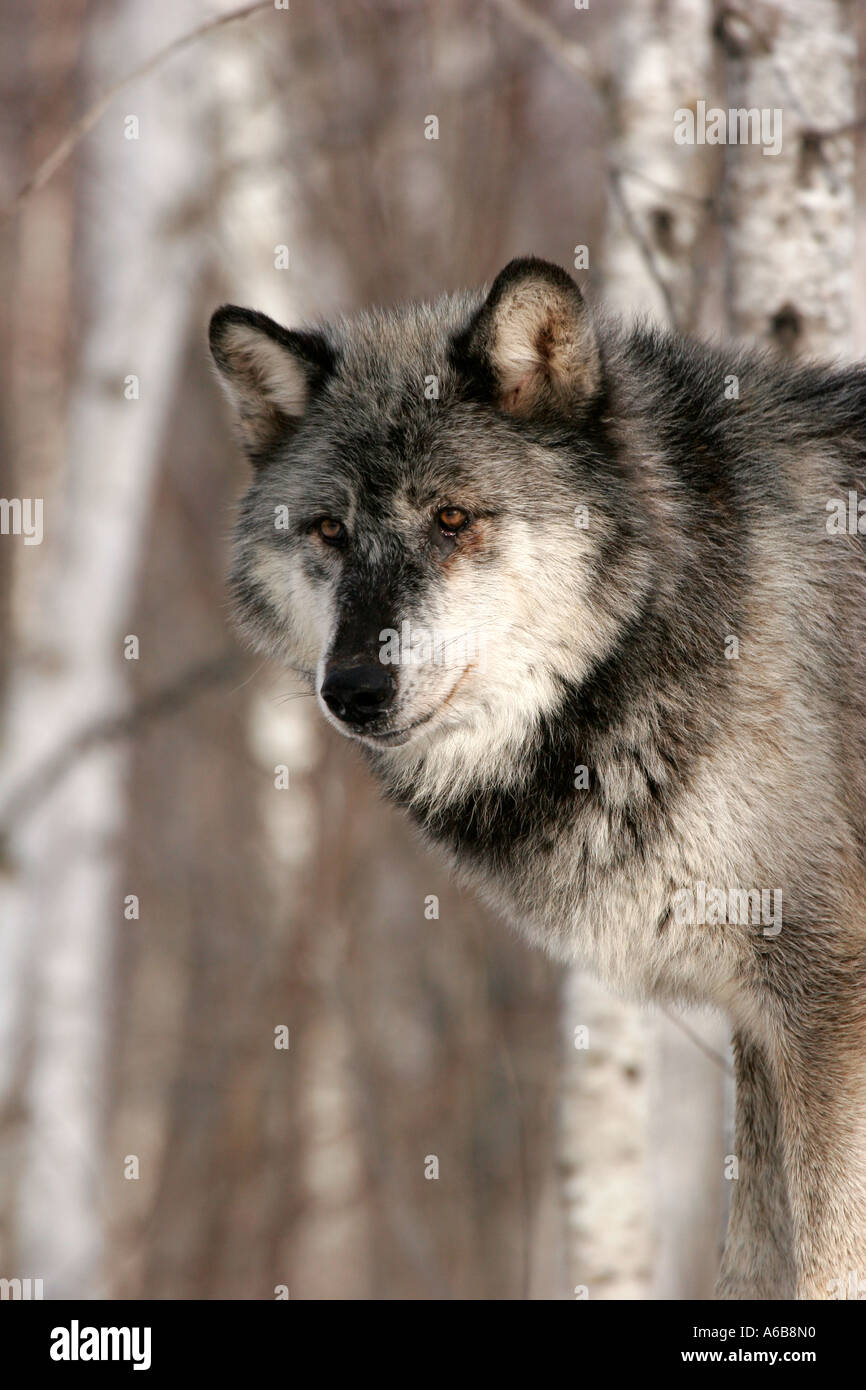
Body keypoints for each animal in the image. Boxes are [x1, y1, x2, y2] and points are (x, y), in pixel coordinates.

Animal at [209, 257, 866, 1299]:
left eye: (451, 518)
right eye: (328, 530)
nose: (352, 689)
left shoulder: (823, 1000)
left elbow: (828, 1260)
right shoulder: (763, 1025)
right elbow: (757, 1259)